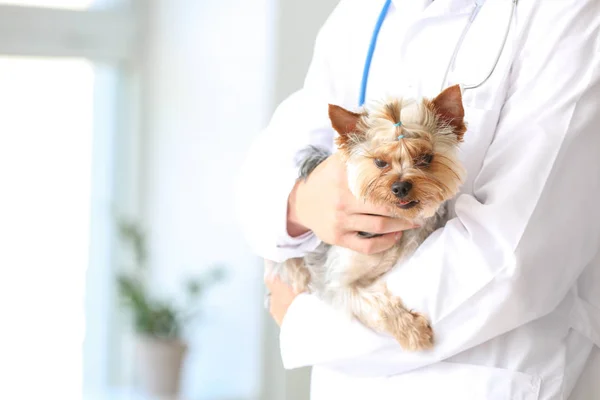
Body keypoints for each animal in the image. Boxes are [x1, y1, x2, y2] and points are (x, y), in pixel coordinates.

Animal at [268, 85, 468, 350]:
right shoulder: (335, 283)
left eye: (426, 158)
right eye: (380, 162)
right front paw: (413, 331)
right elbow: (372, 303)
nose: (400, 187)